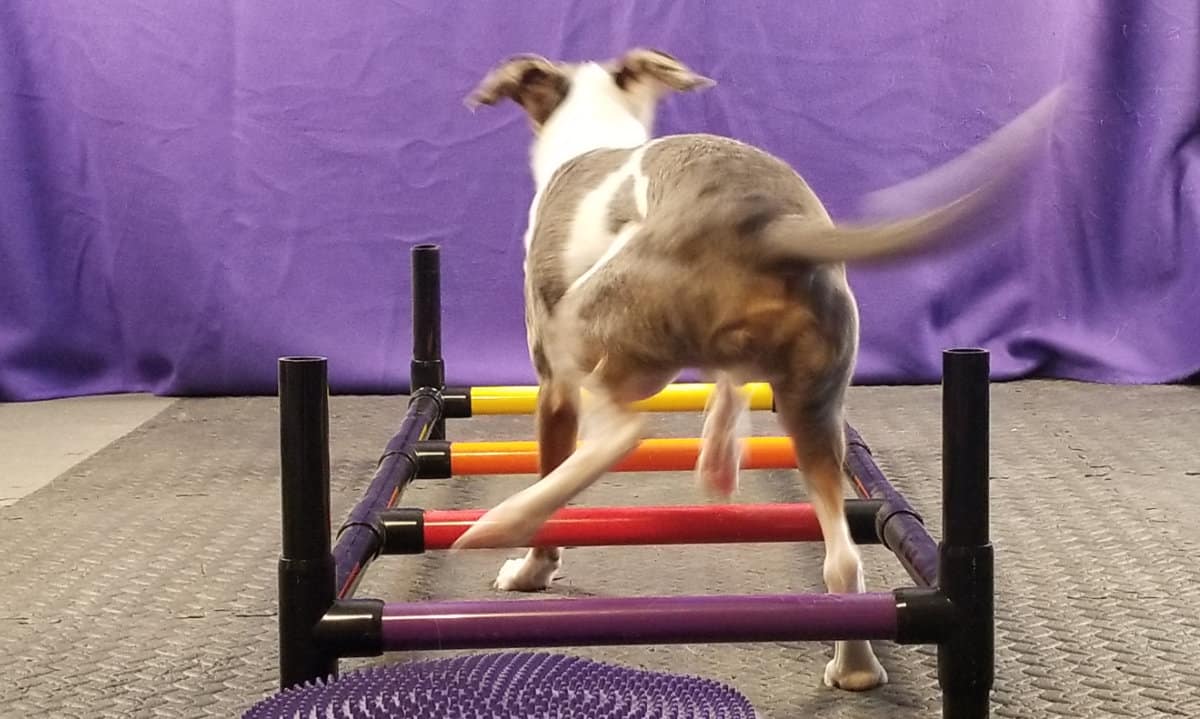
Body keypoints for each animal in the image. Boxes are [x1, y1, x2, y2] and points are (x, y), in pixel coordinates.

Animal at [451, 49, 1060, 691]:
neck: (597, 129)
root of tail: (767, 225)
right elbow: (731, 386)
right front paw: (721, 449)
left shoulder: (553, 385)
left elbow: (553, 470)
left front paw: (531, 569)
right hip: (815, 407)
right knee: (842, 561)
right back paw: (856, 667)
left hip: (584, 328)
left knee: (621, 434)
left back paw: (503, 521)